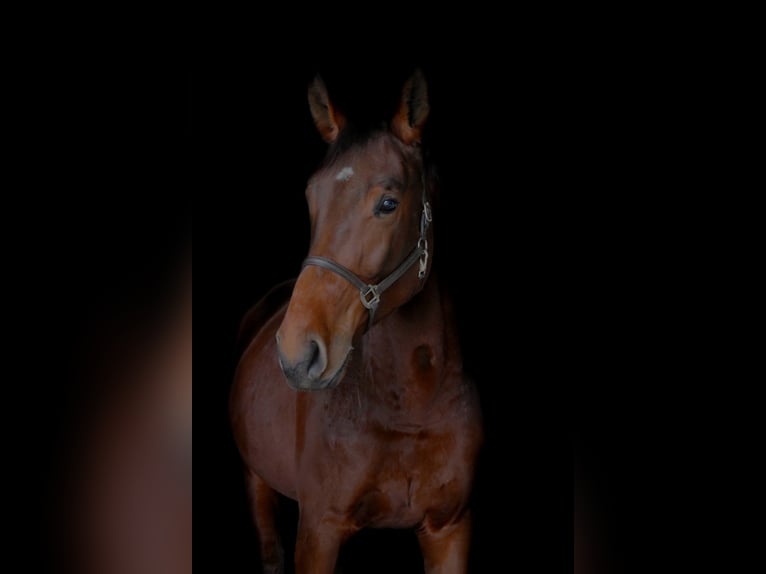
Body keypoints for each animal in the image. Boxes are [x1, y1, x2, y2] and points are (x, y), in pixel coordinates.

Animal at [230, 70, 483, 574]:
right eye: (312, 196)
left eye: (387, 203)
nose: (297, 354)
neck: (412, 404)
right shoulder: (319, 531)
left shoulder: (450, 528)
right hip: (256, 478)